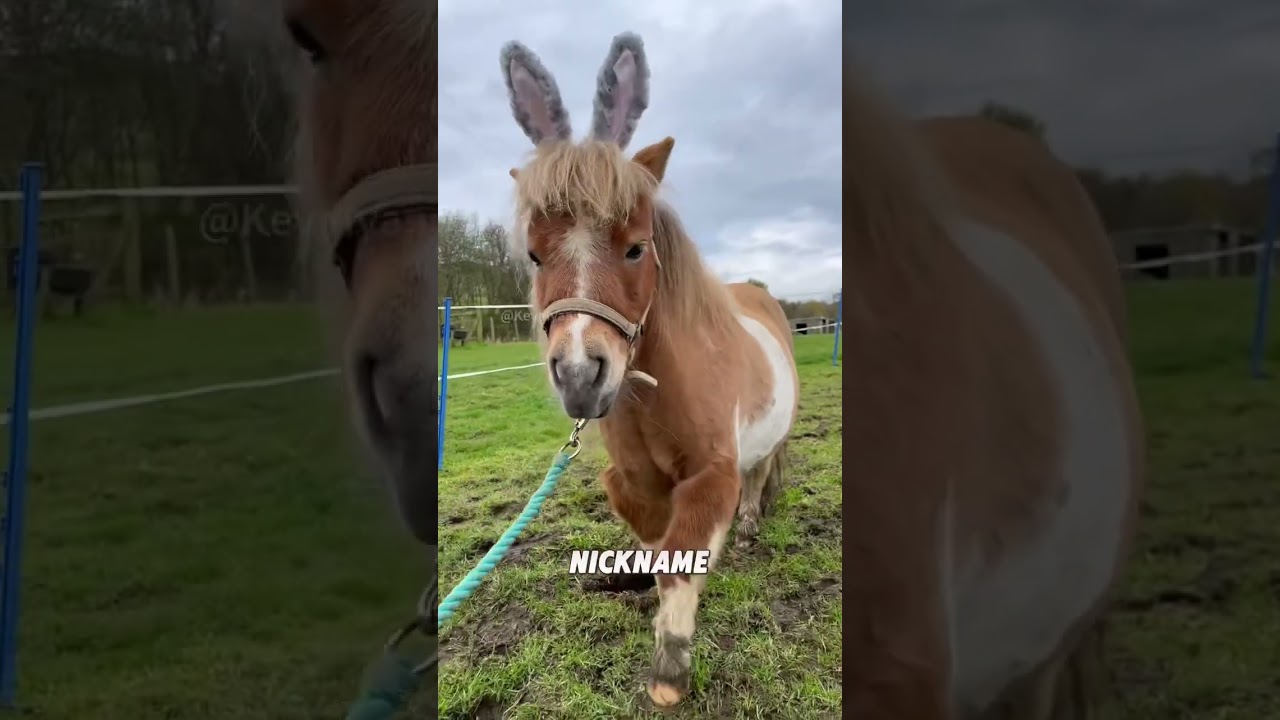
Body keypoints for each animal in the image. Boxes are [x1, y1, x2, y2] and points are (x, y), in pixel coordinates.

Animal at [498, 34, 800, 708]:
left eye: (636, 248)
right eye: (534, 254)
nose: (580, 375)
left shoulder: (712, 474)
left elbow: (684, 554)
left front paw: (670, 670)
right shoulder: (632, 481)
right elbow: (661, 549)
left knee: (761, 471)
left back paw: (748, 524)